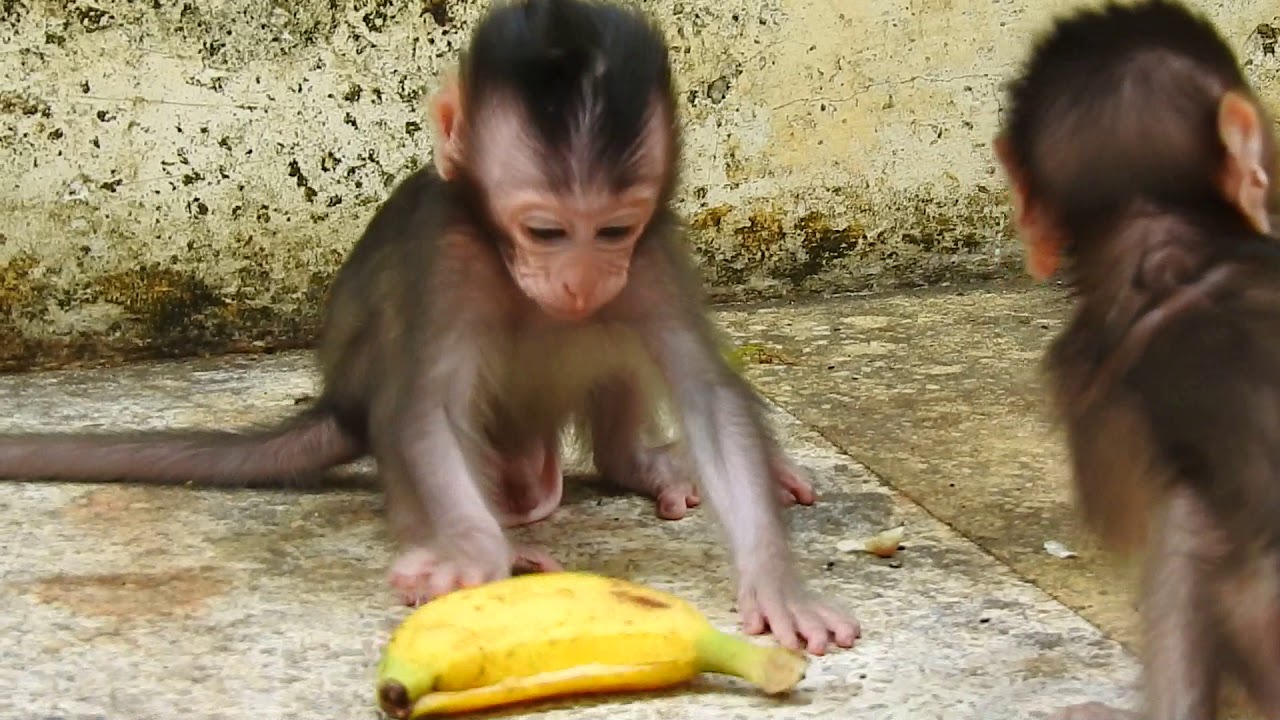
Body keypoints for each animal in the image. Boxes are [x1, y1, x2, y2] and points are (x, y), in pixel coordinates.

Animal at [0, 0, 858, 655]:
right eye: (546, 232)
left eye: (612, 230)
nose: (580, 280)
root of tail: (337, 406)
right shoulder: (452, 257)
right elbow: (425, 408)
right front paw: (470, 557)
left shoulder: (648, 258)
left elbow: (708, 393)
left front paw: (776, 580)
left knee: (606, 338)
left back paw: (638, 463)